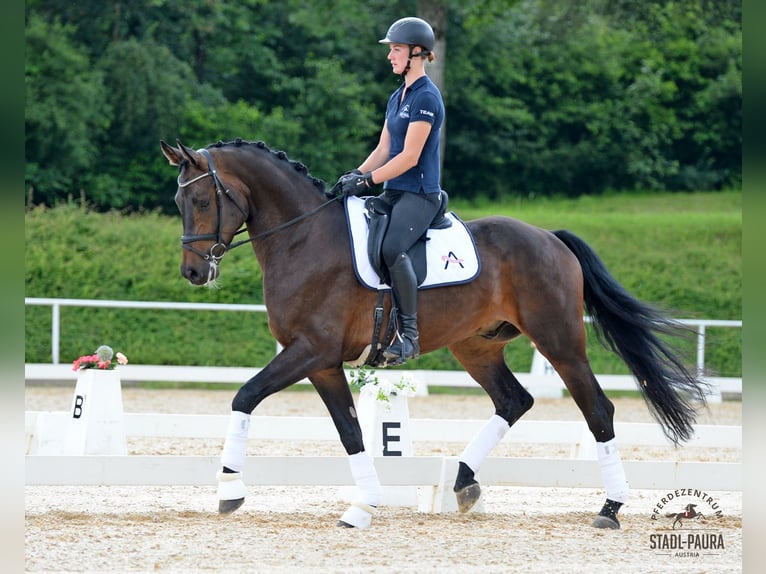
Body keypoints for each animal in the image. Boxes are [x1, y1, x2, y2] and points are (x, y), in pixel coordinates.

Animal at [159, 138, 712, 532]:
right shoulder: (323, 363)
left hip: (559, 342)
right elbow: (350, 432)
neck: (303, 238)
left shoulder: (309, 351)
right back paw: (465, 483)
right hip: (476, 346)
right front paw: (363, 505)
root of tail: (549, 238)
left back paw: (610, 508)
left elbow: (245, 396)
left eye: (203, 199)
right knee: (513, 400)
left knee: (597, 409)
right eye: (179, 200)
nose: (193, 272)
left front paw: (229, 491)